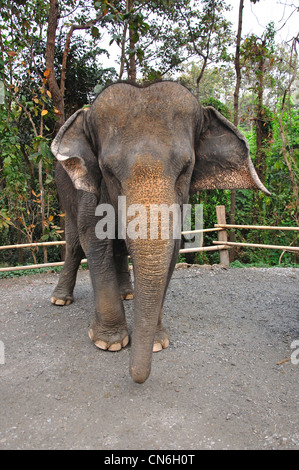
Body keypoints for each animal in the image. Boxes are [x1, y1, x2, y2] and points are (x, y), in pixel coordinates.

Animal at [49, 81, 270, 382]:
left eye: (186, 168)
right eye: (108, 171)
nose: (137, 377)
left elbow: (171, 249)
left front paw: (156, 343)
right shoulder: (89, 192)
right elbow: (93, 240)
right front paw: (110, 343)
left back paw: (128, 295)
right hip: (64, 190)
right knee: (74, 244)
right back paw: (60, 300)